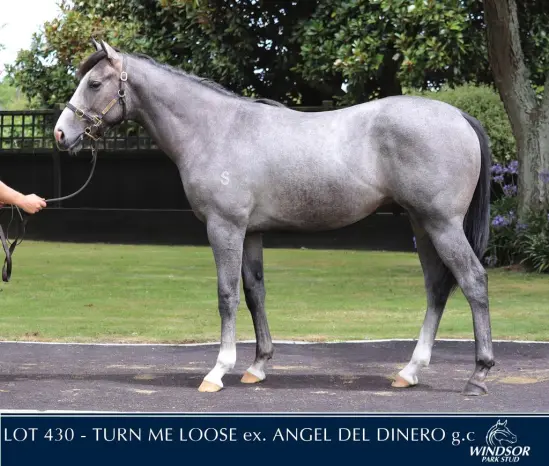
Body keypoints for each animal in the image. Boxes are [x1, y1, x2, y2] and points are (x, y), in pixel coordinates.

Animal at [54, 39, 495, 396]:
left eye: (94, 84)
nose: (60, 134)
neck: (216, 129)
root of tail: (460, 116)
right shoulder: (250, 232)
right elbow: (255, 293)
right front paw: (258, 366)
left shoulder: (224, 227)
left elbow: (227, 295)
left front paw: (218, 371)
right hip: (422, 224)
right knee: (437, 288)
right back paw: (410, 371)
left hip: (442, 224)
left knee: (472, 280)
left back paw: (478, 375)